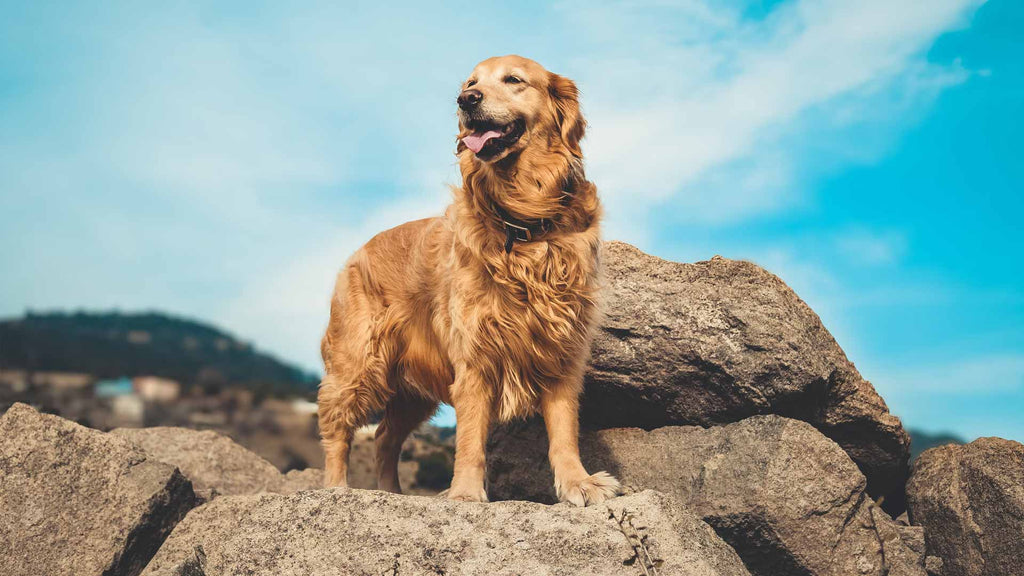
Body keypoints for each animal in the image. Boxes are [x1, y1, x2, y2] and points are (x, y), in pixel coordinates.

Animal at [315, 54, 618, 502]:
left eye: (513, 80)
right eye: (471, 83)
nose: (466, 100)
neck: (522, 221)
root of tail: (357, 253)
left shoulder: (561, 349)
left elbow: (564, 431)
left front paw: (578, 482)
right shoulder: (474, 355)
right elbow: (471, 438)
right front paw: (464, 493)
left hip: (410, 389)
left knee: (386, 436)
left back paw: (393, 492)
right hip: (358, 361)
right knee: (338, 428)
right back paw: (336, 488)